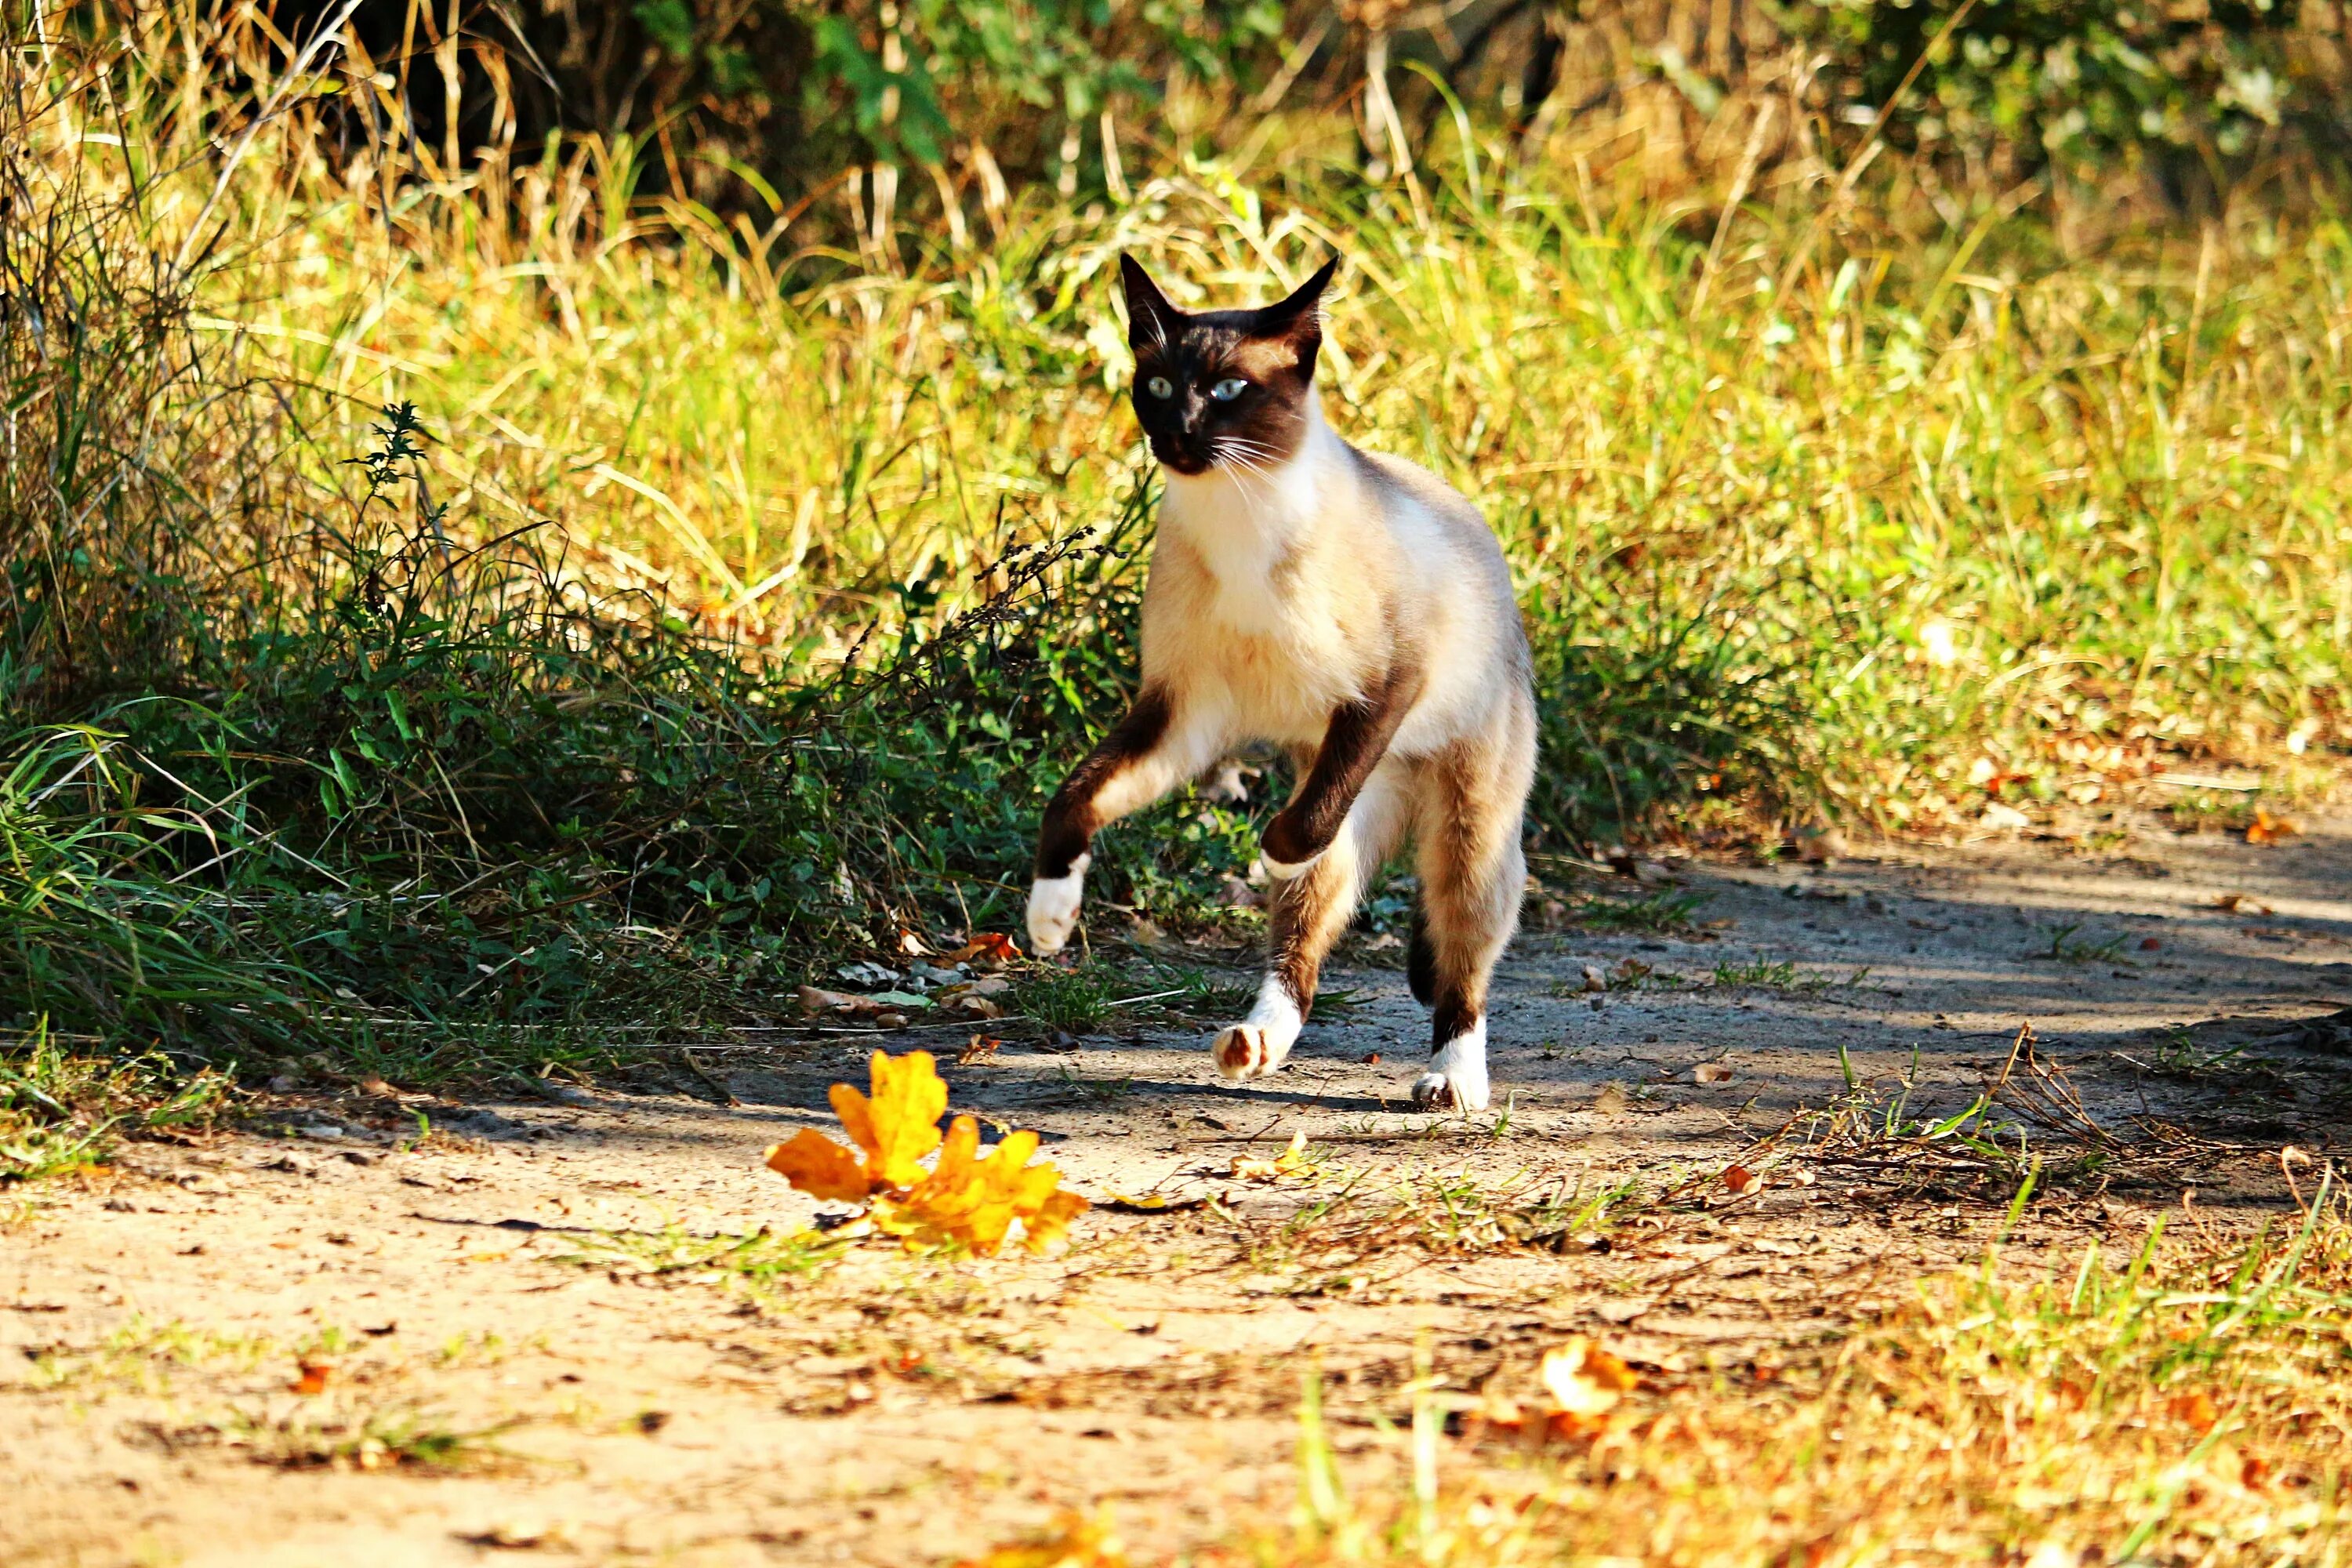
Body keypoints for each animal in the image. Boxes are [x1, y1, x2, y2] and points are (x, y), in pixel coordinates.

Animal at [1021, 255, 1534, 1114]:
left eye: (1228, 389)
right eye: (1159, 384)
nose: (1177, 432)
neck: (1240, 515)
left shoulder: (1384, 690)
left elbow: (1295, 833)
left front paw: (1270, 856)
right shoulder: (1181, 712)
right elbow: (1073, 797)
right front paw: (1050, 920)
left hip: (1466, 828)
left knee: (1458, 956)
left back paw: (1452, 1078)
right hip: (1351, 780)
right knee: (1305, 942)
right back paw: (1255, 1040)